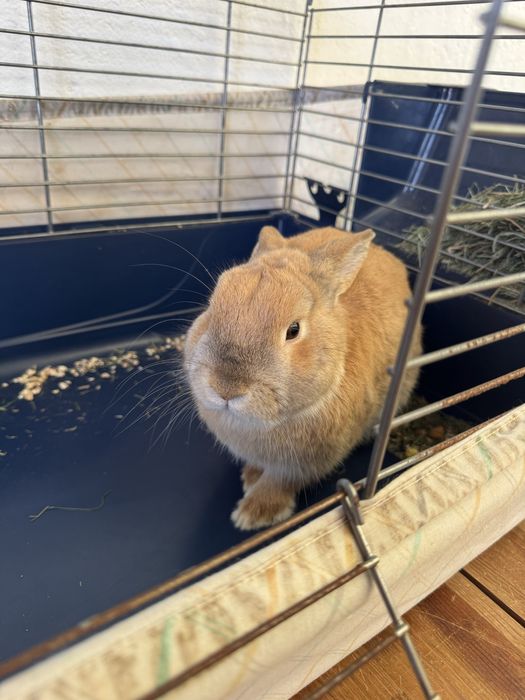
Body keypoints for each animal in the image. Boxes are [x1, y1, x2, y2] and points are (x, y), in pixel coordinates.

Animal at [184, 225, 422, 530]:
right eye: (212, 307)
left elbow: (279, 481)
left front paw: (253, 515)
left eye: (293, 330)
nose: (226, 388)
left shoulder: (302, 464)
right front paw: (250, 477)